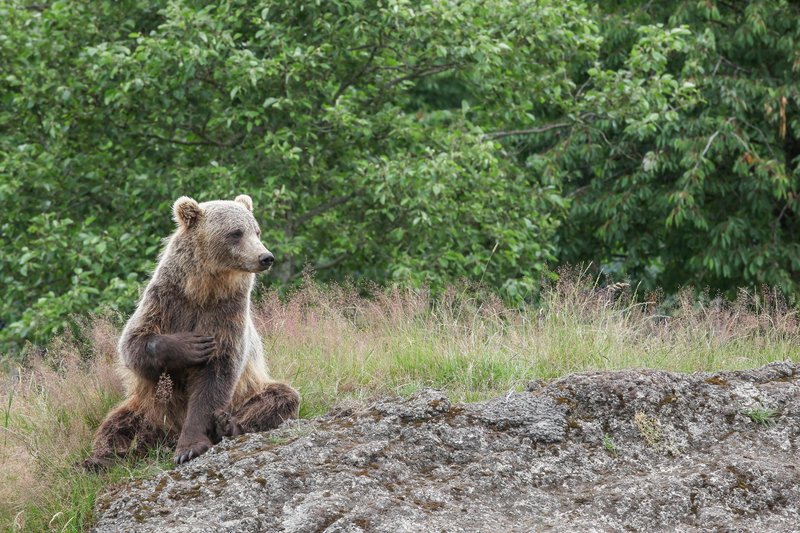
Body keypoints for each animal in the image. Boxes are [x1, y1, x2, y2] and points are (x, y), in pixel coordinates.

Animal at [84, 193, 302, 468]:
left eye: (257, 231)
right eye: (236, 232)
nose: (265, 257)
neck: (203, 288)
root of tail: (166, 434)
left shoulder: (227, 312)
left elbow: (216, 376)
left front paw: (189, 447)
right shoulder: (166, 301)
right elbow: (133, 344)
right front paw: (192, 345)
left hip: (248, 391)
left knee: (282, 397)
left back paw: (229, 425)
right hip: (148, 407)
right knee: (117, 425)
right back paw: (99, 459)